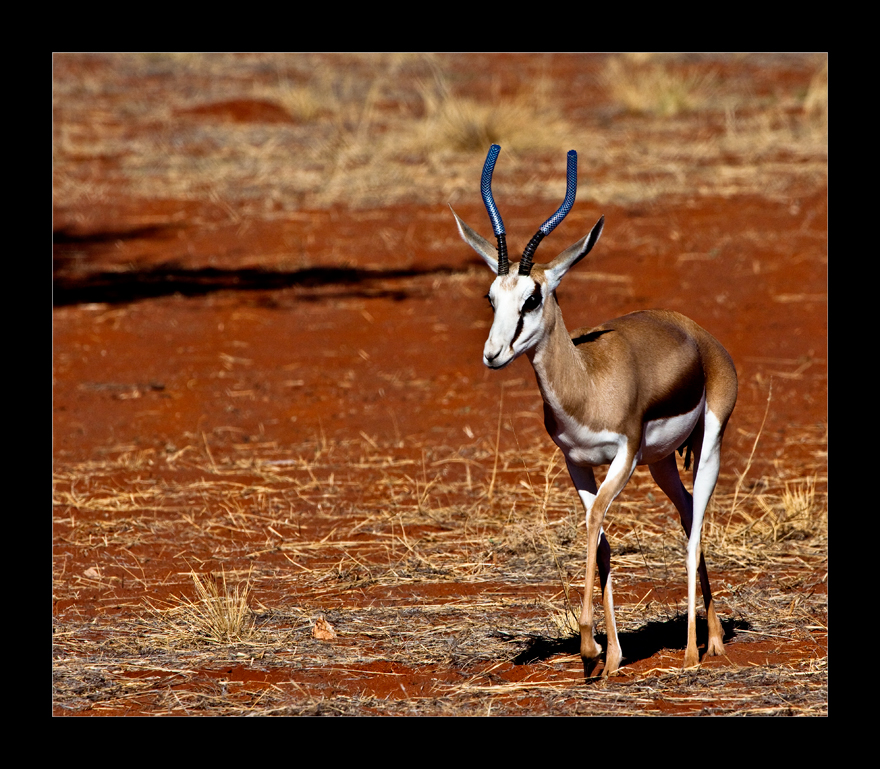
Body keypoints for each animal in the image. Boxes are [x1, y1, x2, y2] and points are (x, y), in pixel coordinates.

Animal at [454, 142, 736, 672]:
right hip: (662, 463)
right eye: (491, 297)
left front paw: (589, 645)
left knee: (693, 533)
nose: (492, 354)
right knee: (688, 513)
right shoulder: (578, 462)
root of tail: (698, 334)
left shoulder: (622, 457)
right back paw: (713, 638)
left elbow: (593, 525)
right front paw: (609, 657)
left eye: (532, 298)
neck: (587, 383)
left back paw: (692, 651)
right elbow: (599, 539)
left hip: (708, 445)